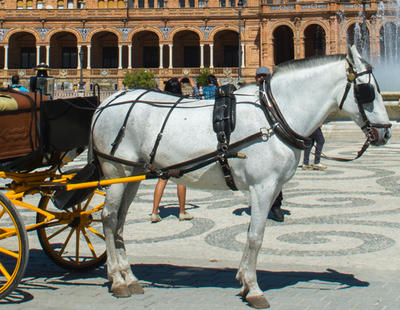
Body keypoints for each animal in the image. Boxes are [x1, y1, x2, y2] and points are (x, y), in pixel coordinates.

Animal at [90, 44, 390, 308]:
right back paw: (117, 280)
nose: (385, 132)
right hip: (116, 171)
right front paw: (254, 289)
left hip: (132, 173)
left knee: (120, 221)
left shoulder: (269, 188)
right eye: (367, 91)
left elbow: (249, 233)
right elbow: (256, 236)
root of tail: (107, 101)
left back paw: (130, 277)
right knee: (108, 218)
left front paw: (244, 281)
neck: (273, 115)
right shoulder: (263, 186)